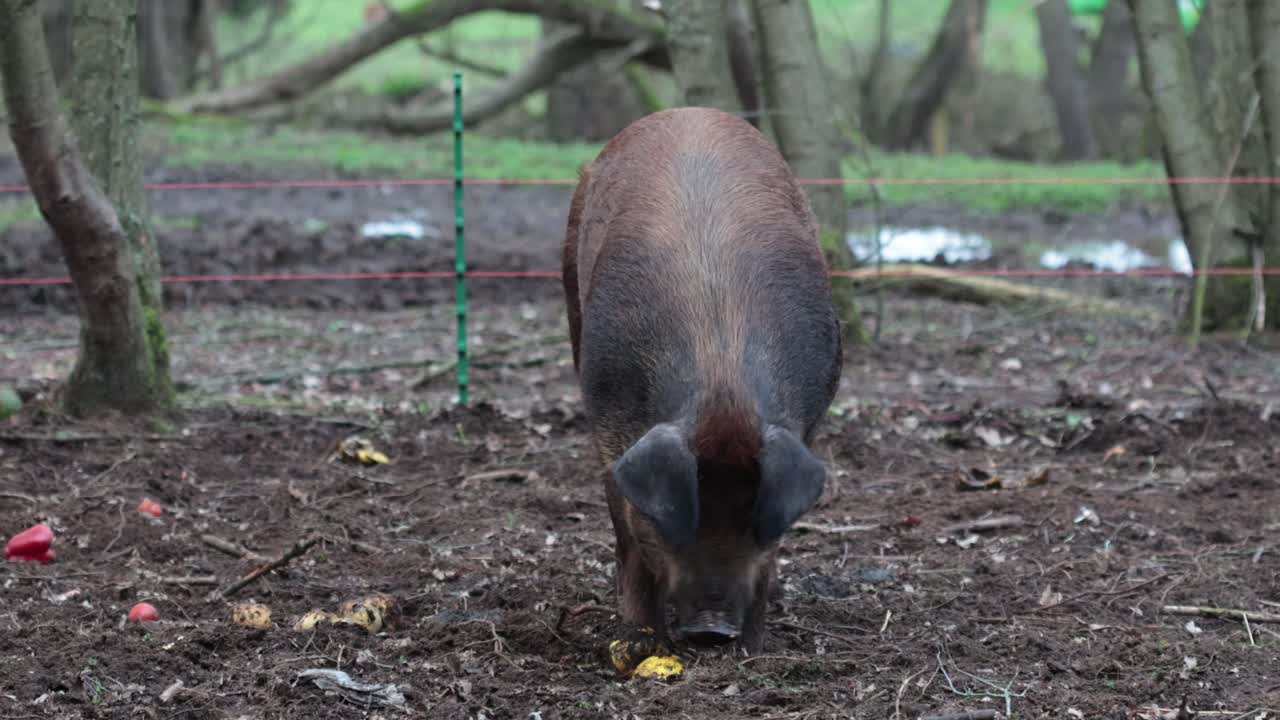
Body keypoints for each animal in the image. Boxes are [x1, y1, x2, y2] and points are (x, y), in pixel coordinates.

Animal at [561, 107, 843, 654]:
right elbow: (628, 536)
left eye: (752, 519)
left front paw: (754, 649)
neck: (720, 379)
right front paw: (641, 646)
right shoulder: (608, 428)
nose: (712, 630)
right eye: (677, 519)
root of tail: (688, 112)